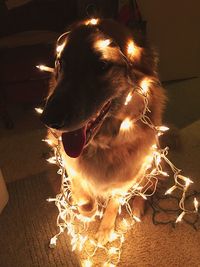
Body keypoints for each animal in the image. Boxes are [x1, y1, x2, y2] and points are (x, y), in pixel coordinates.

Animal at [40, 18, 166, 245]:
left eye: (102, 66)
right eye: (61, 63)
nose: (48, 119)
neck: (103, 144)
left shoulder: (126, 179)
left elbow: (114, 203)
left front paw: (106, 227)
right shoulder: (71, 167)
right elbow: (86, 201)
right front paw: (87, 210)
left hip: (149, 166)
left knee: (144, 190)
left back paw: (137, 207)